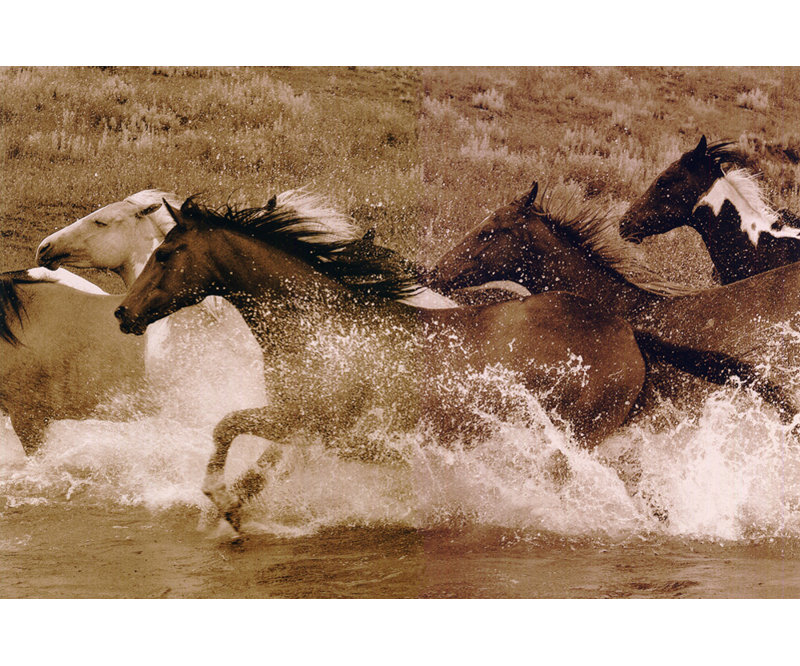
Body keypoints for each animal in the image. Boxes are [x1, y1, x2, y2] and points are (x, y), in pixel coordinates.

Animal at [113, 194, 681, 530]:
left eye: (165, 253)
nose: (123, 314)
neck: (318, 326)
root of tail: (625, 331)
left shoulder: (304, 419)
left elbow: (225, 426)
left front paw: (219, 497)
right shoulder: (306, 430)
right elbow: (258, 469)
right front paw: (233, 510)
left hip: (571, 439)